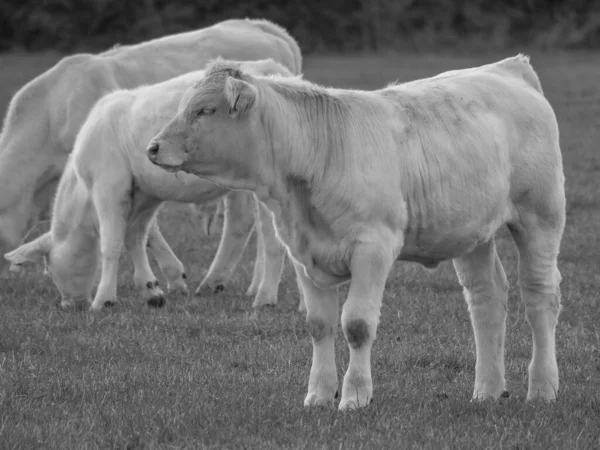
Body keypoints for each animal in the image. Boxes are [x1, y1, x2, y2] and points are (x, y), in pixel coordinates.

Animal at [148, 54, 564, 410]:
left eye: (205, 110)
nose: (152, 147)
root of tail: (507, 68)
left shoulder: (373, 248)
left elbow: (357, 325)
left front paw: (355, 396)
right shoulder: (303, 253)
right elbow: (319, 325)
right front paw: (318, 395)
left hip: (541, 218)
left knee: (540, 297)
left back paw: (542, 388)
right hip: (472, 233)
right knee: (486, 298)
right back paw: (487, 391)